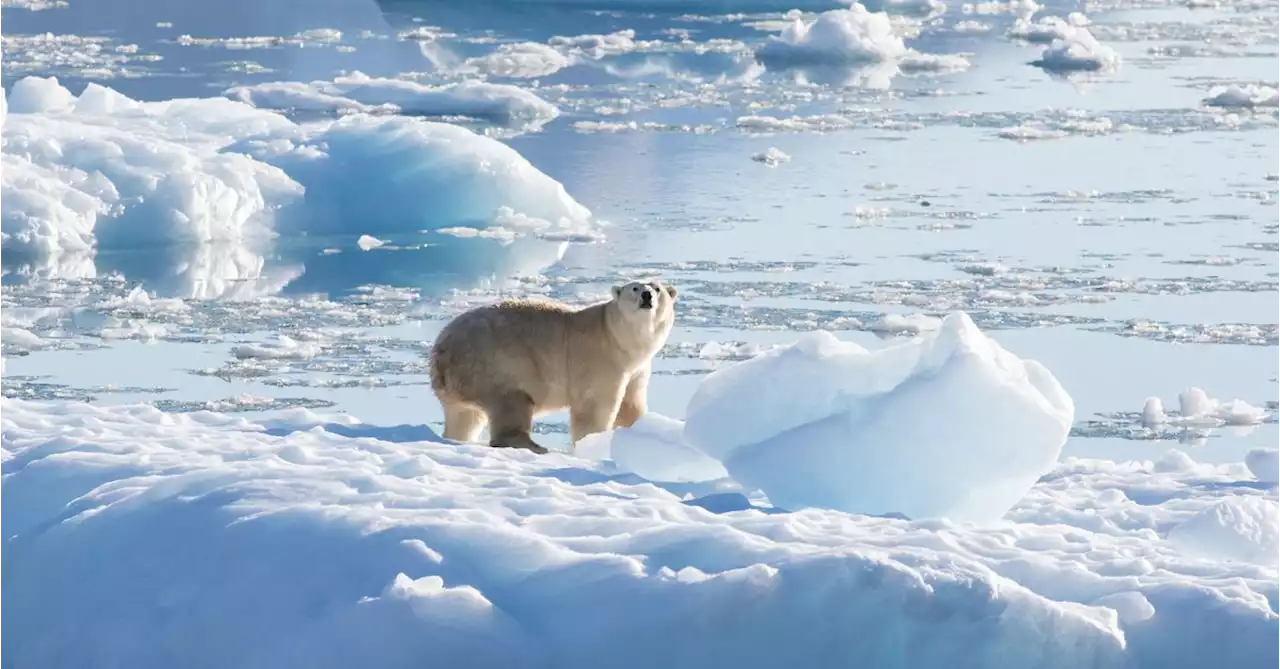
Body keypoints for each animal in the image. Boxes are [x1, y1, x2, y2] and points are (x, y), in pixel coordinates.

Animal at [427, 277, 680, 455]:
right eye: (634, 288)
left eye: (657, 288)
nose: (647, 295)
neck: (616, 337)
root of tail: (440, 350)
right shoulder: (599, 359)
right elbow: (594, 407)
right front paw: (593, 444)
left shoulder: (637, 369)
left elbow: (631, 404)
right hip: (495, 363)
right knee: (512, 402)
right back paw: (535, 446)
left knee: (465, 417)